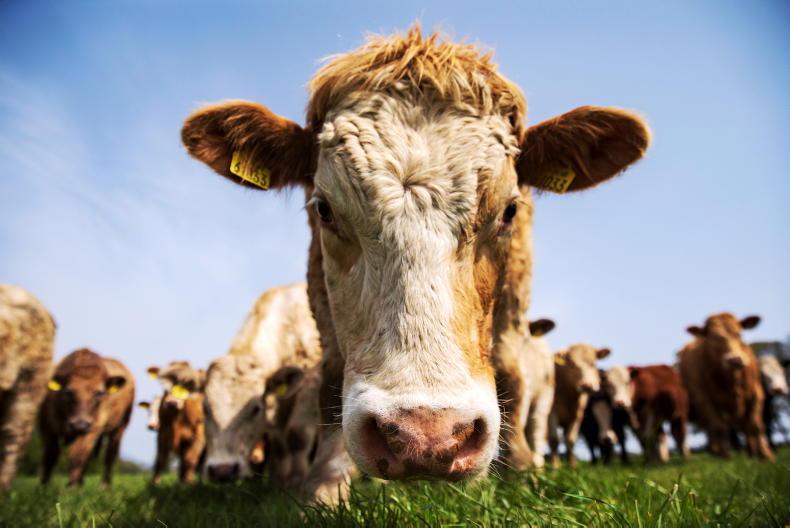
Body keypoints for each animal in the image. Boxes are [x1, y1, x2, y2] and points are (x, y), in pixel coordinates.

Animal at [40, 349, 135, 487]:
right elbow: (50, 455)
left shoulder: (93, 427)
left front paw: (72, 487)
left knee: (110, 455)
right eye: (68, 392)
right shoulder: (47, 425)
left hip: (120, 427)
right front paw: (44, 485)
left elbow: (77, 455)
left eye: (99, 393)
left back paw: (104, 485)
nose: (80, 424)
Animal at [202, 283, 322, 482]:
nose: (222, 470)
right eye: (206, 409)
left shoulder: (311, 389)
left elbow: (297, 435)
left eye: (255, 409)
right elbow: (279, 443)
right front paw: (280, 482)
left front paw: (298, 479)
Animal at [678, 313, 773, 461]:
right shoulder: (705, 400)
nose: (735, 360)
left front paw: (766, 456)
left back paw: (752, 453)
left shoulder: (756, 393)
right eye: (712, 339)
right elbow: (719, 427)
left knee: (746, 427)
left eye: (739, 333)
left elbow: (755, 425)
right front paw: (726, 457)